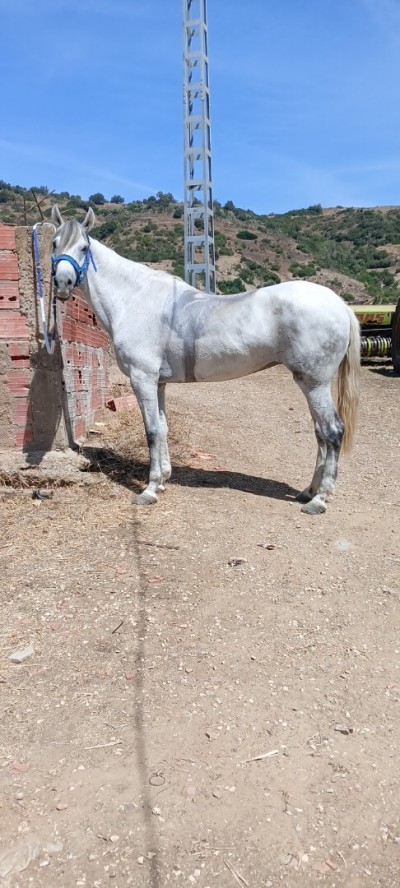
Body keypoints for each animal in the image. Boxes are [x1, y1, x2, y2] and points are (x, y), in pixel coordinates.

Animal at [50, 205, 360, 515]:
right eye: (54, 244)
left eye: (83, 247)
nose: (62, 284)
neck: (134, 299)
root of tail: (340, 305)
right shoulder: (158, 383)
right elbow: (163, 427)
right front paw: (163, 480)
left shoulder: (143, 379)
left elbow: (151, 431)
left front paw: (149, 490)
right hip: (310, 384)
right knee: (320, 434)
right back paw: (309, 491)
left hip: (315, 383)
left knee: (332, 432)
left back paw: (320, 499)